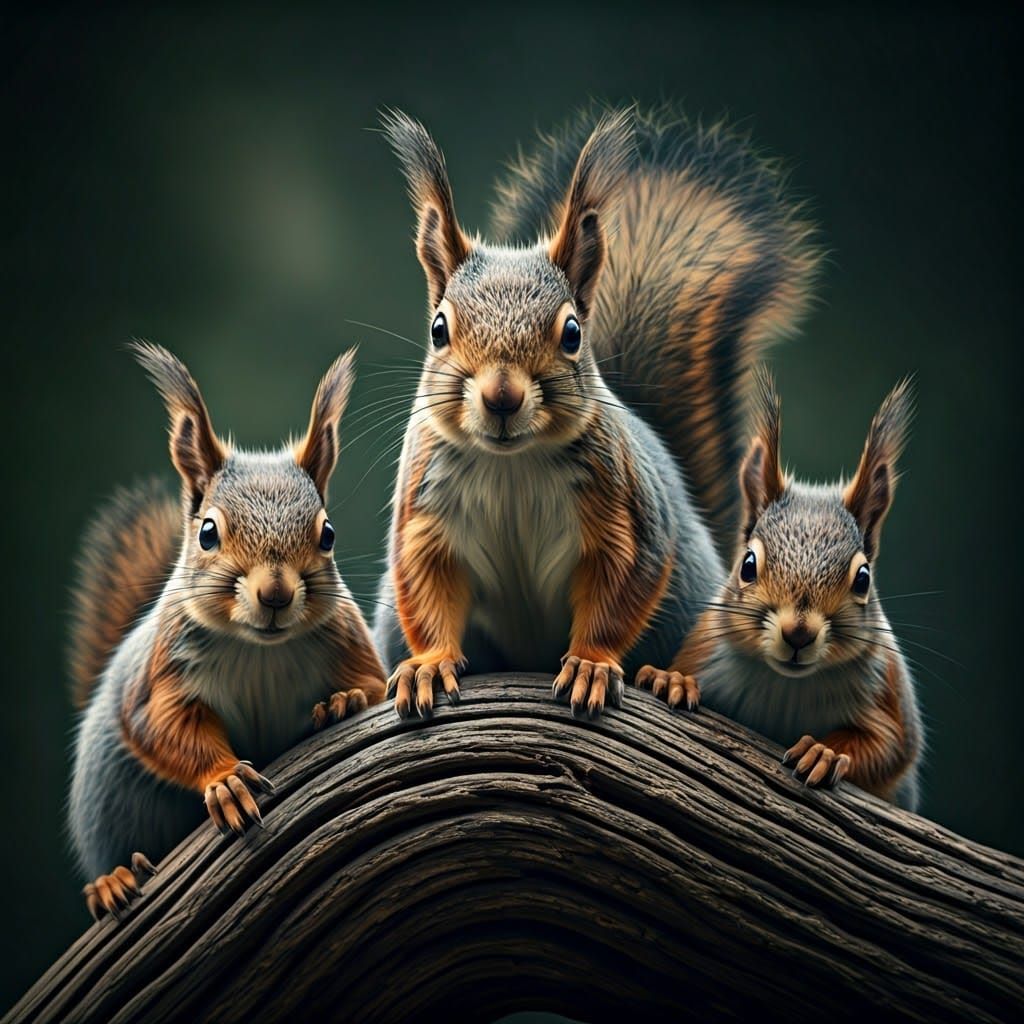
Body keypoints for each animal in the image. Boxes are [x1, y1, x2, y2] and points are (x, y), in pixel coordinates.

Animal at [67, 343, 386, 921]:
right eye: (208, 533)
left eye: (328, 534)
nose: (275, 594)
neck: (259, 649)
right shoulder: (162, 679)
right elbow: (165, 727)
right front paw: (226, 781)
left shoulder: (351, 642)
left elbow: (375, 684)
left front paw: (345, 701)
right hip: (110, 794)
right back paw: (114, 879)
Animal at [372, 105, 820, 719]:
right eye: (439, 329)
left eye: (572, 333)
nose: (502, 397)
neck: (511, 464)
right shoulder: (426, 516)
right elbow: (426, 593)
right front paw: (429, 665)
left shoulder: (626, 517)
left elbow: (618, 595)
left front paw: (588, 664)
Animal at [637, 370, 923, 809]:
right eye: (747, 565)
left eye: (863, 578)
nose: (798, 634)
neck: (788, 683)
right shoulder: (703, 648)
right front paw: (672, 681)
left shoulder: (887, 692)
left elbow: (887, 749)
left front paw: (825, 751)